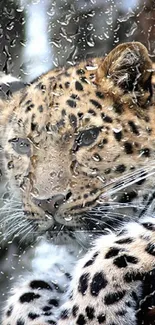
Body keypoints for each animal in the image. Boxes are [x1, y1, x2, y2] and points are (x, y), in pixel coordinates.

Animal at [0, 41, 155, 324]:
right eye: (21, 144)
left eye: (87, 136)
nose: (47, 202)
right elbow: (27, 293)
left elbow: (113, 250)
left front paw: (90, 314)